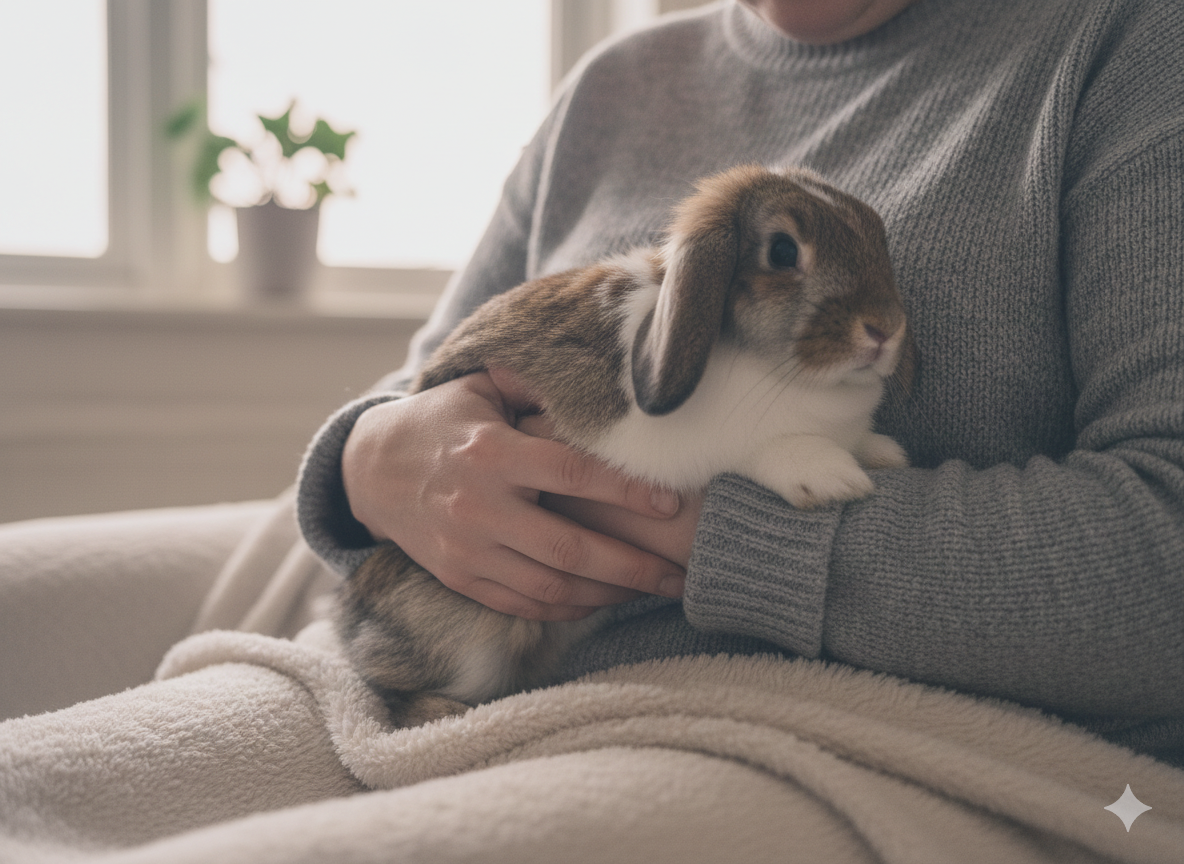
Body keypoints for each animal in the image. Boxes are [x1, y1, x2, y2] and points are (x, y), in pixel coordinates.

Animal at [336, 164, 915, 727]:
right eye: (783, 252)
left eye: (879, 237)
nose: (886, 330)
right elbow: (762, 450)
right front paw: (831, 476)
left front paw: (883, 452)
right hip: (474, 632)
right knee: (387, 692)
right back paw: (447, 711)